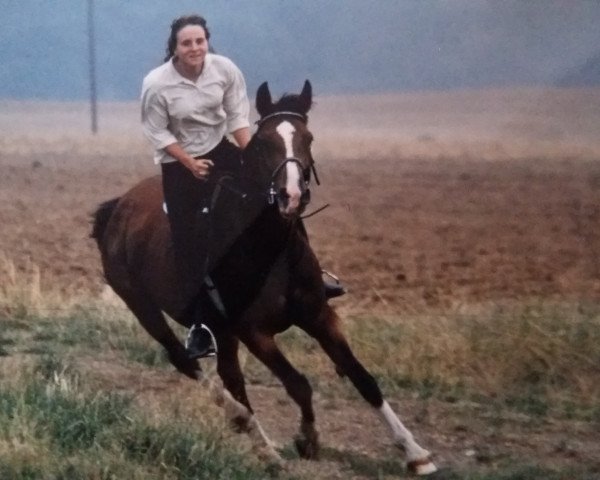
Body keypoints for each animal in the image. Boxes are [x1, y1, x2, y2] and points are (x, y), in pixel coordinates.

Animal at [90, 80, 436, 474]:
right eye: (265, 143)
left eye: (308, 138)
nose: (292, 196)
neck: (269, 250)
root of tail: (117, 208)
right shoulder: (255, 332)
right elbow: (299, 384)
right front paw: (306, 439)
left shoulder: (319, 316)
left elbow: (362, 377)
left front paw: (415, 453)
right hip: (144, 306)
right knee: (188, 362)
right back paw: (255, 437)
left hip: (220, 331)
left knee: (230, 376)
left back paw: (259, 441)